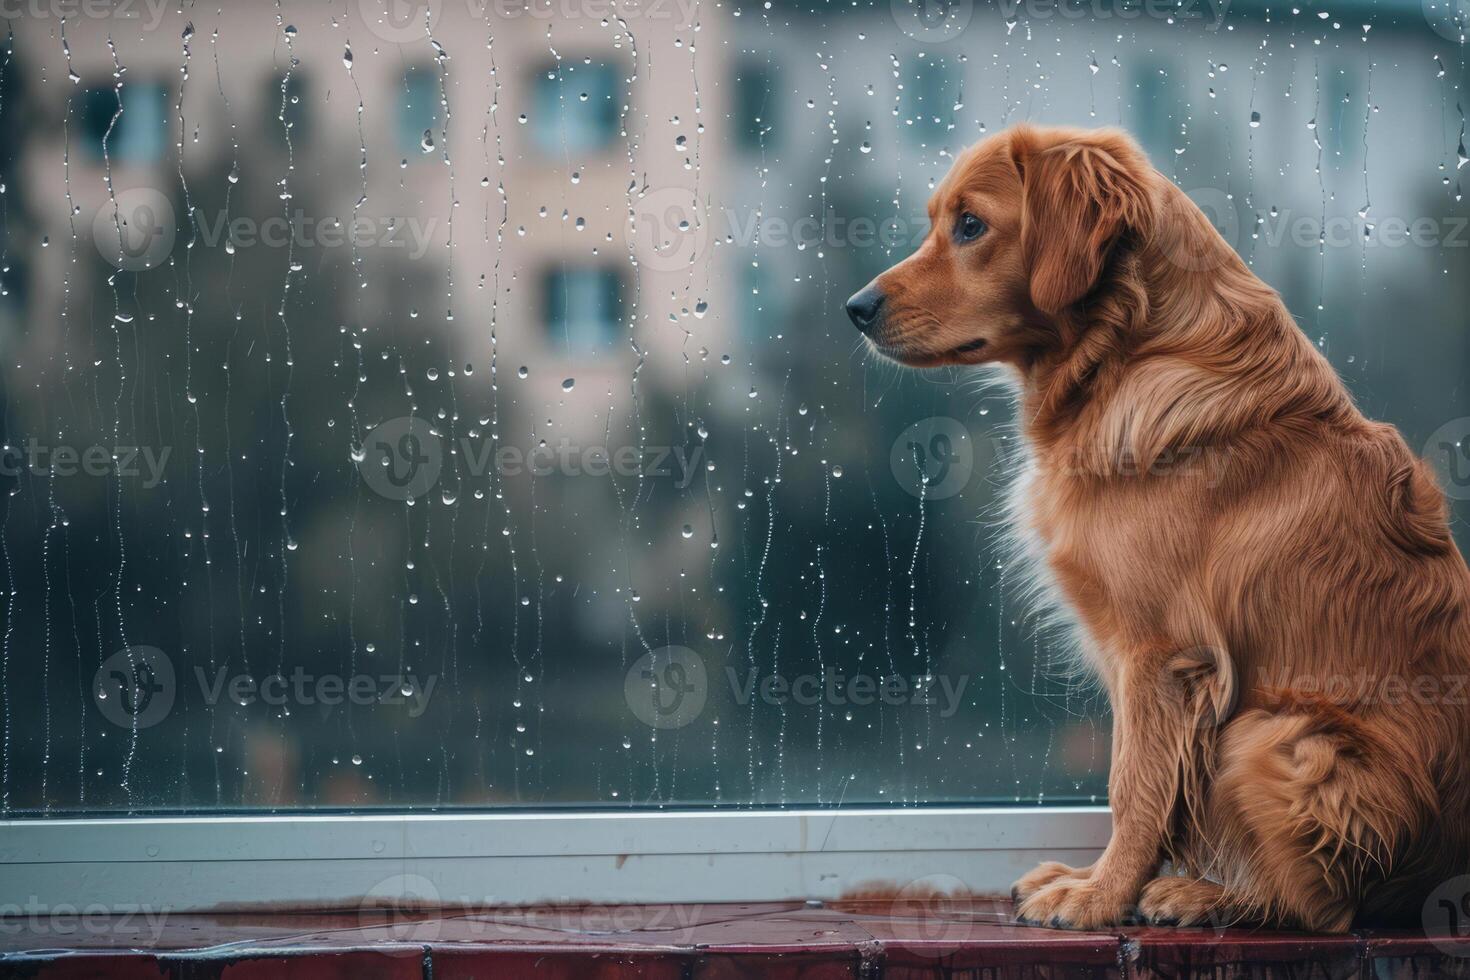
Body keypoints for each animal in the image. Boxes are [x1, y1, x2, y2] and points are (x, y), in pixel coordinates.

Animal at [846, 124, 1470, 934]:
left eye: (971, 225)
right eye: (935, 222)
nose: (855, 307)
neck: (1128, 352)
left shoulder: (1161, 654)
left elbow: (1132, 787)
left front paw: (1100, 896)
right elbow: (1138, 780)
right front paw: (1095, 881)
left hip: (1273, 733)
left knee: (1325, 908)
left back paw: (1206, 894)